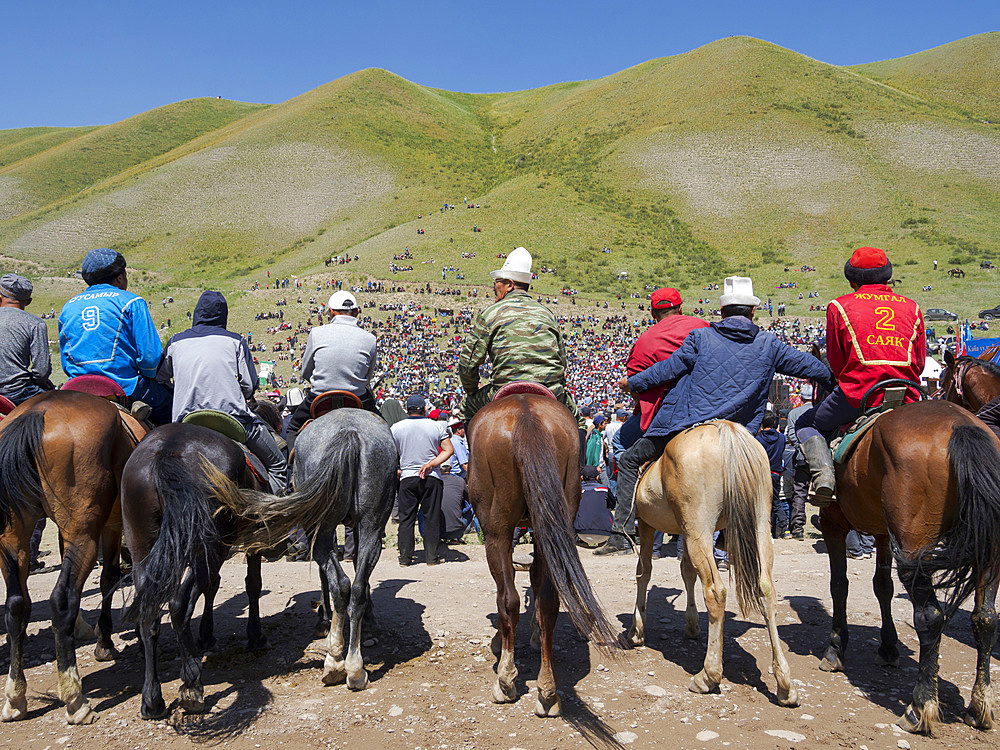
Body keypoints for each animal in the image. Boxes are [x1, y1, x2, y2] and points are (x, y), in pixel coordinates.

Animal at [0, 390, 146, 724]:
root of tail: (38, 411)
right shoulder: (111, 525)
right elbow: (108, 579)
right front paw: (104, 643)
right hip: (84, 534)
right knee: (62, 599)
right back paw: (75, 699)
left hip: (14, 536)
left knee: (16, 606)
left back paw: (15, 697)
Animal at [120, 426, 270, 720]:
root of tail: (168, 449)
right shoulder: (252, 541)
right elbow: (252, 584)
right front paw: (255, 634)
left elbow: (213, 587)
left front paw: (206, 635)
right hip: (208, 547)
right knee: (179, 602)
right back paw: (191, 682)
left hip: (142, 546)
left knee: (150, 613)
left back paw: (152, 699)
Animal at [210, 412, 394, 692]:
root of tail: (349, 431)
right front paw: (368, 624)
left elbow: (324, 575)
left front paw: (324, 621)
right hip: (372, 524)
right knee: (356, 587)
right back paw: (355, 668)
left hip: (321, 525)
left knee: (340, 583)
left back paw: (335, 660)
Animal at [466, 394, 616, 716]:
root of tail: (526, 414)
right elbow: (536, 579)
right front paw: (535, 634)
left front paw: (499, 643)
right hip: (557, 514)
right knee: (548, 599)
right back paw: (547, 691)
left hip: (496, 530)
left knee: (508, 599)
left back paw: (506, 681)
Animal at [628, 424, 800, 712]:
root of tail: (727, 431)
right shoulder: (682, 531)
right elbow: (686, 572)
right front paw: (691, 625)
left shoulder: (648, 524)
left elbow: (644, 572)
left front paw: (636, 630)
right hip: (757, 523)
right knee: (767, 590)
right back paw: (785, 684)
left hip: (700, 527)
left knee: (715, 591)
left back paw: (708, 676)